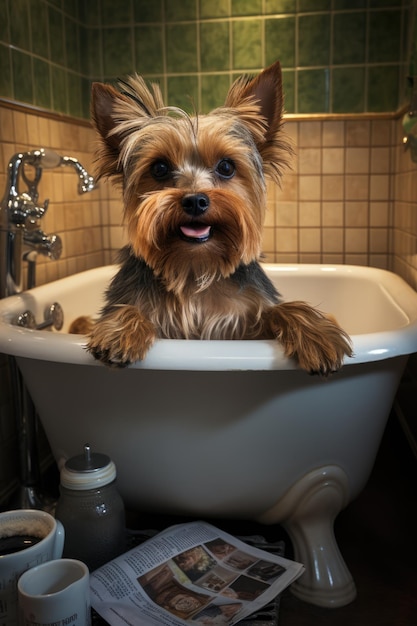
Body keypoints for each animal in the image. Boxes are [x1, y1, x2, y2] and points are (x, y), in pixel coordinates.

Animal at [84, 59, 352, 370]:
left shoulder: (242, 324)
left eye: (226, 166)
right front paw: (121, 330)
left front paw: (316, 332)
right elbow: (128, 307)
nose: (195, 201)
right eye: (159, 168)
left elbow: (278, 310)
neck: (195, 268)